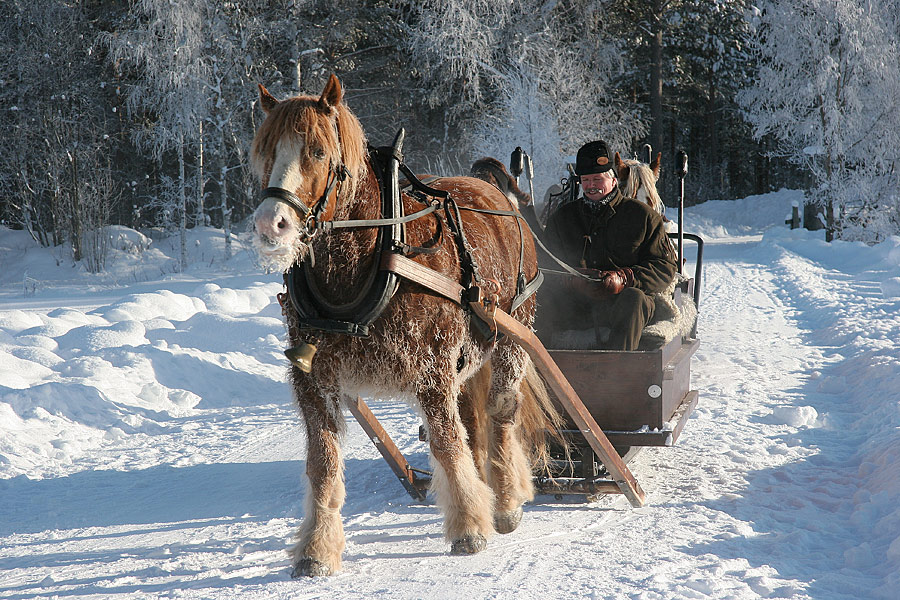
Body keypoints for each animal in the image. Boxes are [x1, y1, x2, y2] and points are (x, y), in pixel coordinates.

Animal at [250, 75, 560, 576]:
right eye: (265, 151)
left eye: (317, 151)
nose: (269, 224)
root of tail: (502, 195)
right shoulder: (313, 378)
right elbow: (323, 462)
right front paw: (317, 547)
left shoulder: (432, 369)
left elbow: (447, 444)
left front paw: (469, 527)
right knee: (473, 418)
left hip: (512, 336)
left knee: (500, 413)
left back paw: (507, 498)